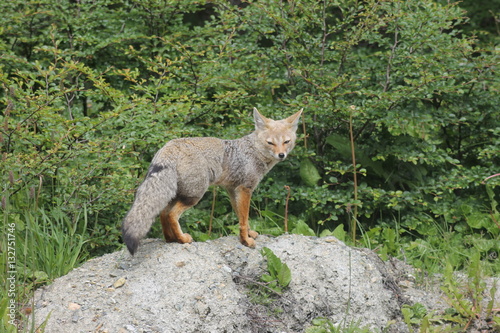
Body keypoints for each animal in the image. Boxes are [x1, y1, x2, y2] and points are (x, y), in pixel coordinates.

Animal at [122, 107, 300, 253]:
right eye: (270, 143)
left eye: (286, 141)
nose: (281, 155)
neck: (253, 151)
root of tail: (169, 146)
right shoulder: (245, 189)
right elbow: (244, 219)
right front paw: (246, 241)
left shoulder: (232, 190)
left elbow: (242, 217)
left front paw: (249, 234)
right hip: (194, 195)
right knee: (171, 214)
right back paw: (182, 239)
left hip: (175, 194)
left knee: (163, 214)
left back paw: (171, 239)